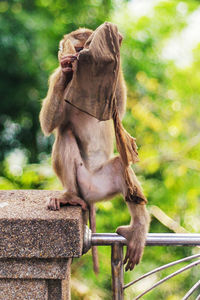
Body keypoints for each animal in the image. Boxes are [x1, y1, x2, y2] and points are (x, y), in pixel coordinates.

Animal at [39, 28, 149, 272]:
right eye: (78, 49)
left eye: (85, 48)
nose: (78, 58)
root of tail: (89, 197)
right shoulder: (52, 79)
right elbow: (48, 125)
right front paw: (65, 69)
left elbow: (119, 106)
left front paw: (117, 44)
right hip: (84, 184)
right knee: (65, 133)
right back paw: (69, 195)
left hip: (101, 186)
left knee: (119, 166)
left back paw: (137, 229)